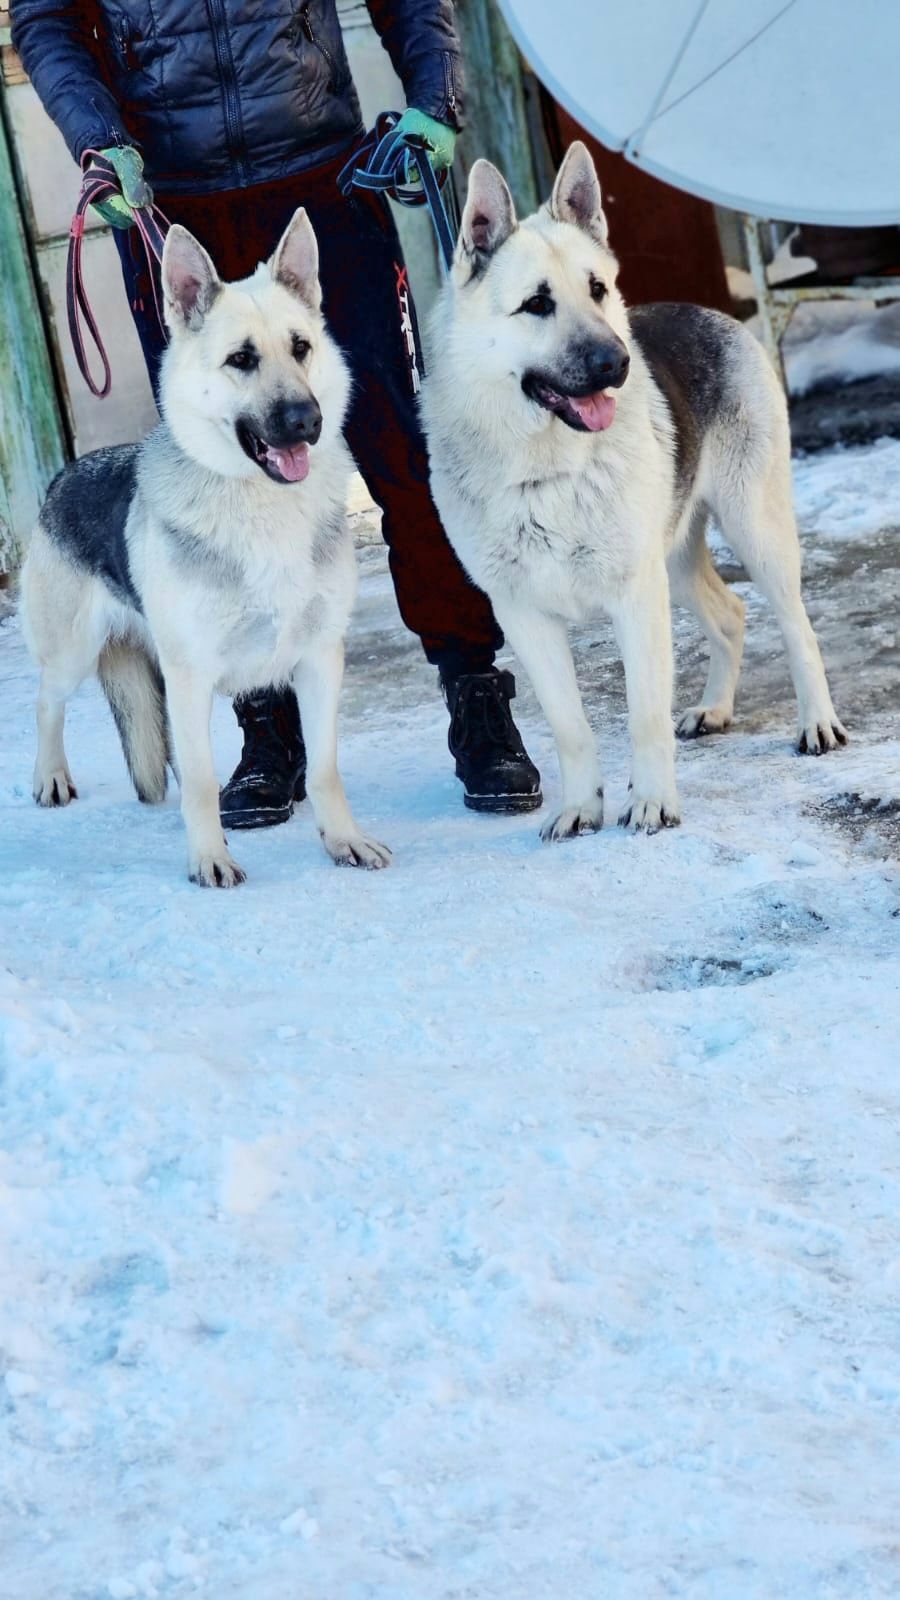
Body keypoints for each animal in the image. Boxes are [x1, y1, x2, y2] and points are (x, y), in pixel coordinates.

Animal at [21, 206, 389, 883]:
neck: (262, 510)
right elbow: (196, 781)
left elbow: (325, 768)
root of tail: (64, 474)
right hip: (72, 653)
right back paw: (50, 776)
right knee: (44, 701)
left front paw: (343, 841)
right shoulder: (188, 679)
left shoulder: (319, 659)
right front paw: (210, 859)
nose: (308, 420)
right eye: (240, 359)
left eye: (301, 347)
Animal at [419, 144, 839, 844]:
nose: (615, 363)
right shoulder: (524, 616)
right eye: (536, 304)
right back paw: (714, 708)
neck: (545, 472)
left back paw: (817, 722)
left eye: (597, 289)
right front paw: (580, 807)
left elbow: (643, 715)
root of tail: (711, 311)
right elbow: (570, 727)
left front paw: (652, 803)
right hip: (676, 558)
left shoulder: (635, 600)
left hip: (753, 529)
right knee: (731, 613)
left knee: (795, 625)